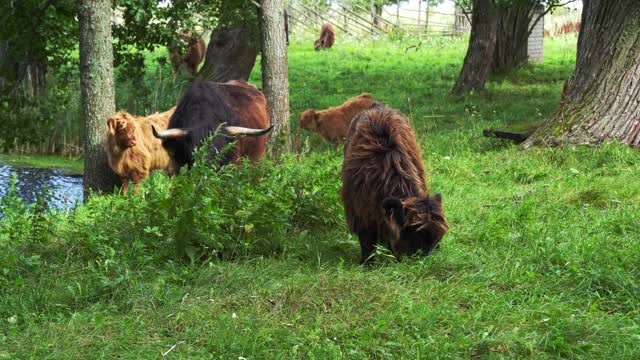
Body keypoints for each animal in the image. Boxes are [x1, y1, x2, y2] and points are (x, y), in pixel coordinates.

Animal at [340, 104, 450, 264]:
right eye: (416, 236)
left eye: (438, 238)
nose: (429, 259)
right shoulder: (360, 212)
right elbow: (367, 241)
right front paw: (367, 263)